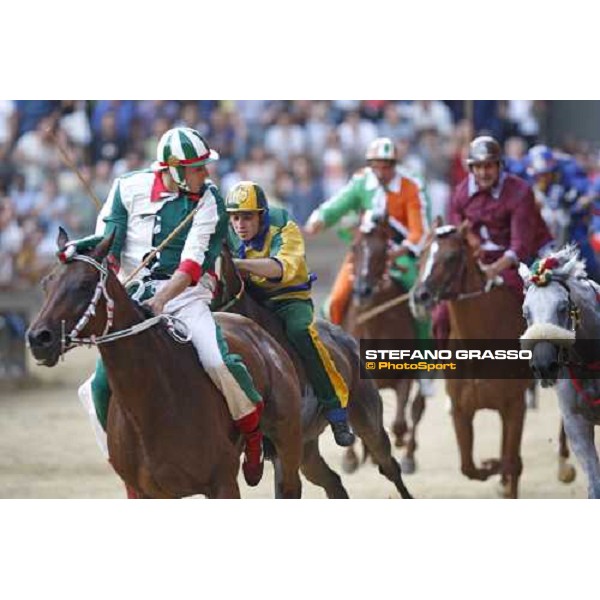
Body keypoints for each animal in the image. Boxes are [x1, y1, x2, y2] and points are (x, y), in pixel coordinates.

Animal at [25, 227, 302, 500]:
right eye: (46, 283)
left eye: (84, 284)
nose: (39, 338)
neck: (153, 402)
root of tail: (257, 333)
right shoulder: (148, 492)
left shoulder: (222, 483)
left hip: (287, 440)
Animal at [340, 218, 428, 476]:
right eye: (355, 247)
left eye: (383, 250)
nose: (362, 290)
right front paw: (350, 459)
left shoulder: (406, 373)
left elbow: (400, 421)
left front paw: (398, 440)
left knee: (416, 409)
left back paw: (407, 456)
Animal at [410, 223, 532, 500]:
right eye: (421, 256)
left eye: (452, 256)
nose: (421, 296)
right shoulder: (461, 408)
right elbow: (469, 467)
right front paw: (490, 467)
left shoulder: (515, 404)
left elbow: (511, 461)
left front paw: (499, 468)